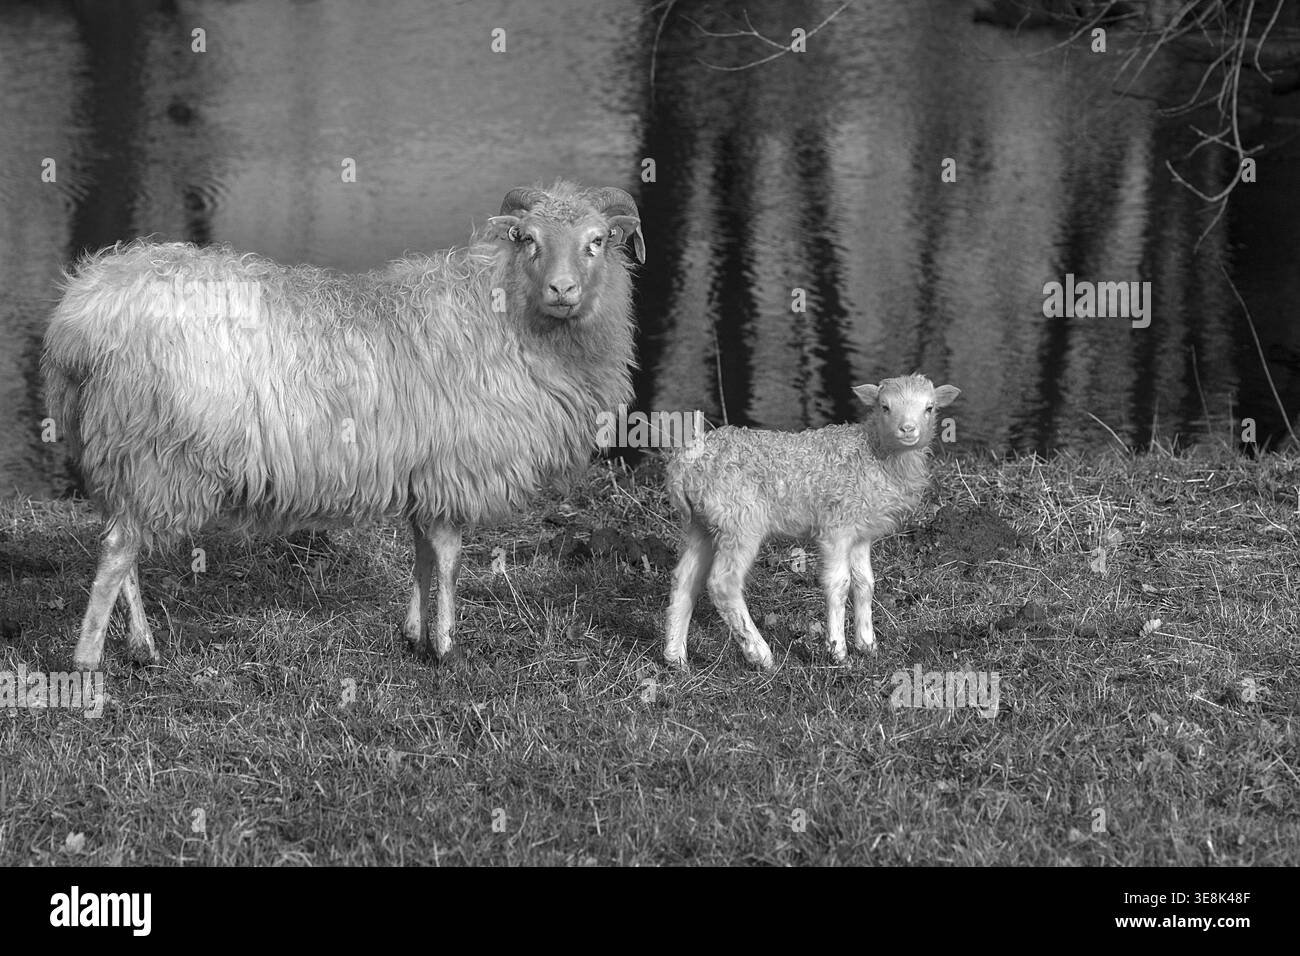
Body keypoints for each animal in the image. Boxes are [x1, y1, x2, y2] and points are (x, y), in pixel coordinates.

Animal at [42, 181, 644, 670]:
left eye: (596, 241)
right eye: (528, 239)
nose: (563, 290)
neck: (505, 315)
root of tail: (82, 315)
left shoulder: (424, 471)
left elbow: (422, 553)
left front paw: (415, 636)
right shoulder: (452, 468)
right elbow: (448, 557)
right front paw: (447, 647)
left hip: (122, 452)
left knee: (121, 548)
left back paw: (142, 647)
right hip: (156, 451)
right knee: (117, 553)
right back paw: (87, 663)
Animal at [663, 375, 960, 671]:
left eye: (929, 408)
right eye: (885, 407)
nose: (908, 429)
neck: (874, 454)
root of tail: (683, 465)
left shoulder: (860, 532)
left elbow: (865, 583)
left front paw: (868, 645)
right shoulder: (835, 528)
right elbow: (839, 584)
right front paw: (838, 651)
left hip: (703, 523)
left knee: (684, 579)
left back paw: (675, 657)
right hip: (740, 520)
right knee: (723, 584)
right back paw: (761, 654)